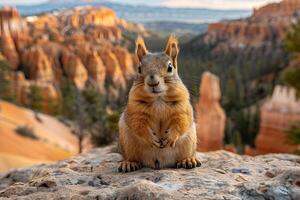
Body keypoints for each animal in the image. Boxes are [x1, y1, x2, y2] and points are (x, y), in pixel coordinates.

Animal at [118, 34, 202, 172]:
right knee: (133, 157)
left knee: (183, 156)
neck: (158, 99)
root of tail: (160, 163)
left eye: (170, 67)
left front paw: (171, 137)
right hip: (128, 143)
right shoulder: (134, 110)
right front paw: (150, 138)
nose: (153, 81)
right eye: (139, 68)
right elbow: (138, 124)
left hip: (189, 142)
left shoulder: (182, 108)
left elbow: (181, 122)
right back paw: (129, 163)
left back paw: (188, 160)